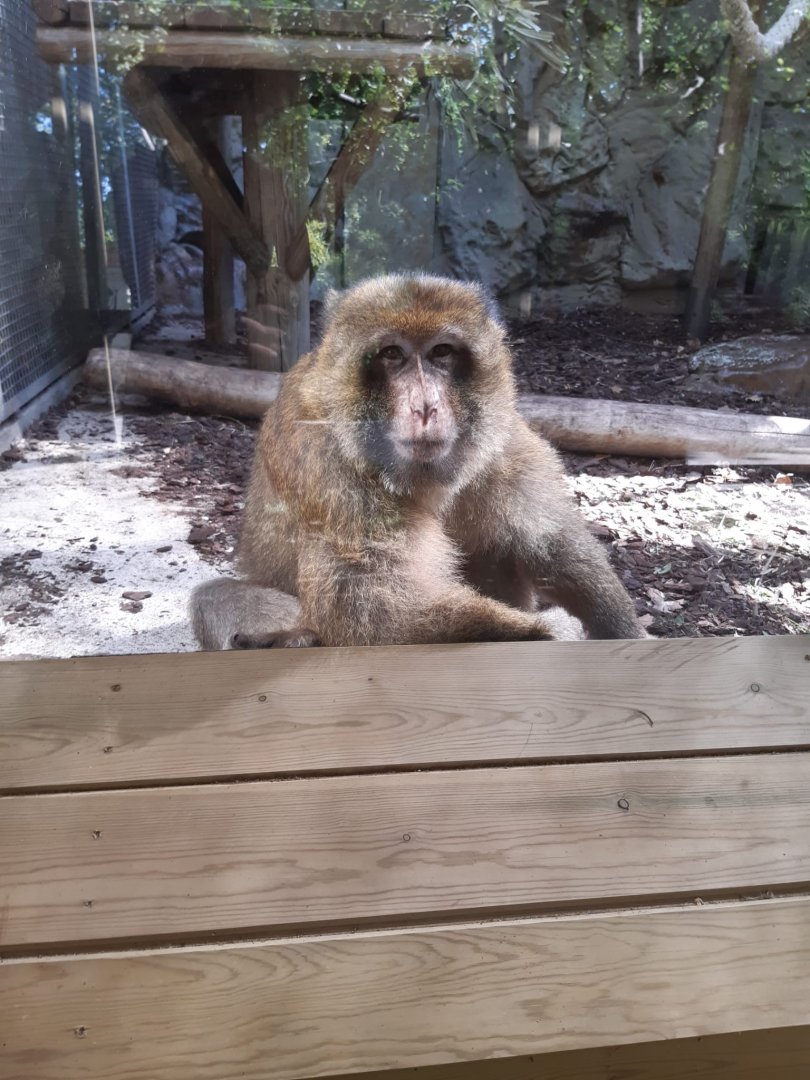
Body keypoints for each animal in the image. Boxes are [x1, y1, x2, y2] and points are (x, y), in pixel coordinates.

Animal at [190, 273, 643, 650]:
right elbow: (373, 612)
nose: (425, 406)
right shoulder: (323, 459)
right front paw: (550, 630)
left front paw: (618, 626)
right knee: (213, 596)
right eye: (392, 354)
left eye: (442, 352)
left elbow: (550, 539)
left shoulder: (500, 440)